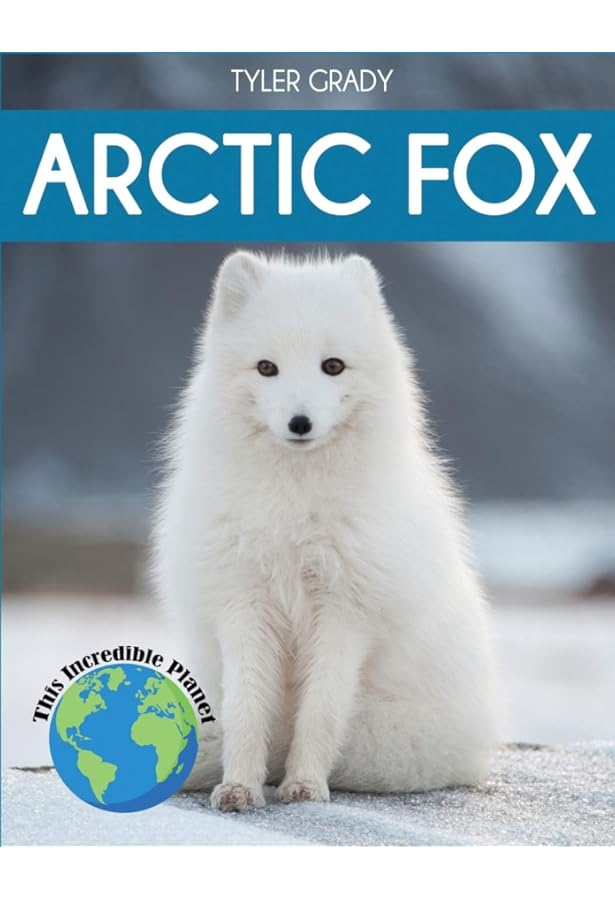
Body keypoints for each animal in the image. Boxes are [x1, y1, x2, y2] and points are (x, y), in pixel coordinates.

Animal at [152, 250, 501, 812]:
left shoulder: (346, 610)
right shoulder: (243, 602)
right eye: (267, 367)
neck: (295, 508)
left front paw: (305, 785)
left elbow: (320, 711)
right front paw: (239, 786)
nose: (300, 422)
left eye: (332, 365)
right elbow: (246, 709)